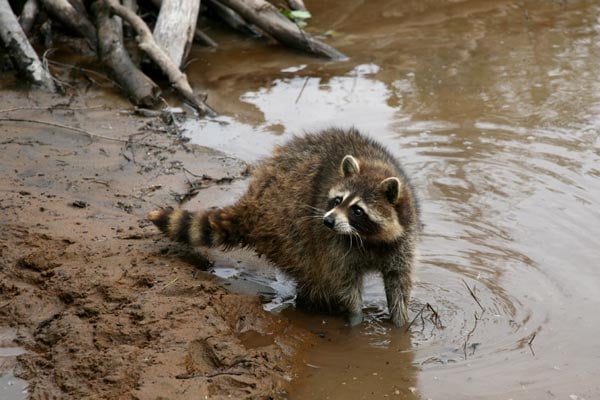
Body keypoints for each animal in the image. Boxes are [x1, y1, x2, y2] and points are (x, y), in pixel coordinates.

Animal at [149, 127, 420, 324]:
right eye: (337, 200)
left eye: (357, 210)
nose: (328, 220)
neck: (366, 237)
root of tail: (254, 198)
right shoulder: (334, 244)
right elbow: (344, 282)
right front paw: (355, 317)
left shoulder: (402, 240)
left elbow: (398, 282)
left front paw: (400, 322)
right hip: (285, 225)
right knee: (313, 268)